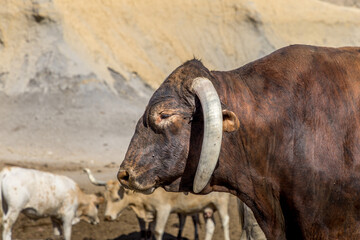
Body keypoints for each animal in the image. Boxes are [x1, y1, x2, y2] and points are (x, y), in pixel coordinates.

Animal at [83, 169, 231, 240]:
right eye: (106, 197)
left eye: (116, 198)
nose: (107, 217)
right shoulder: (150, 213)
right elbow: (148, 231)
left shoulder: (163, 210)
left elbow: (158, 231)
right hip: (208, 207)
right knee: (210, 226)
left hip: (222, 203)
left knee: (225, 222)